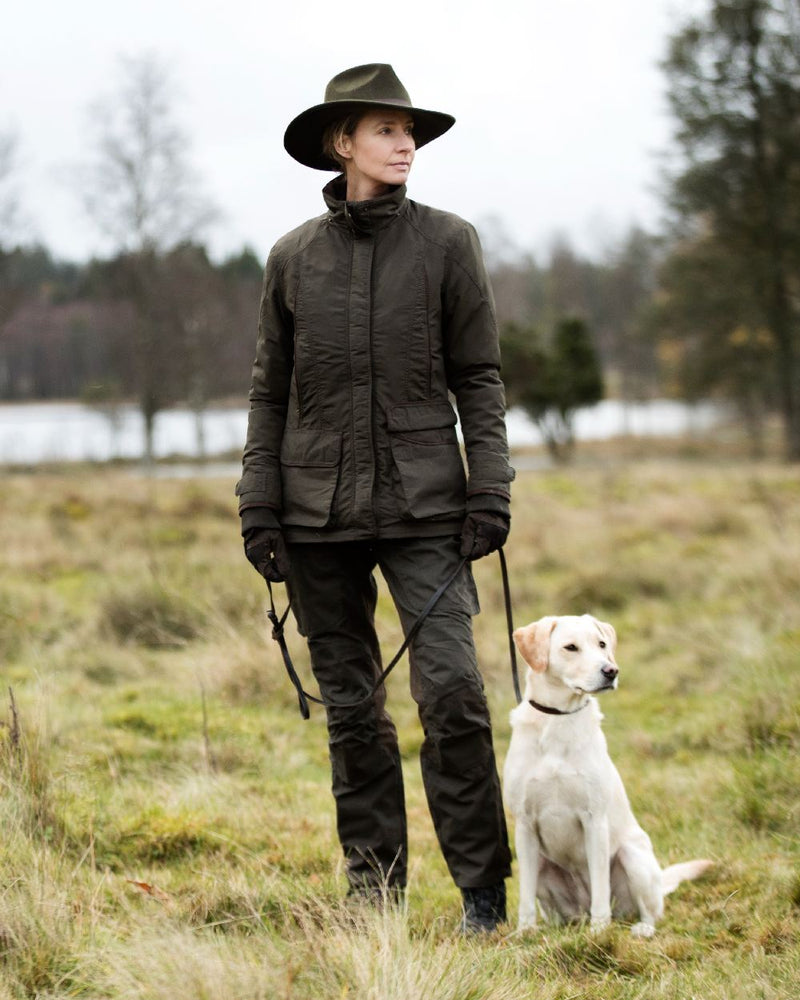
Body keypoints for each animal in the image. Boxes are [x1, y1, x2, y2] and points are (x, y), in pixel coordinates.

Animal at [506, 616, 712, 936]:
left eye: (602, 644)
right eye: (570, 647)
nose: (611, 671)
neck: (558, 718)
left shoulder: (594, 820)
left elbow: (601, 888)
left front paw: (599, 931)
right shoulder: (525, 826)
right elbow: (525, 897)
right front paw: (525, 932)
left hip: (633, 856)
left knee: (650, 912)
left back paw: (641, 928)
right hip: (542, 864)